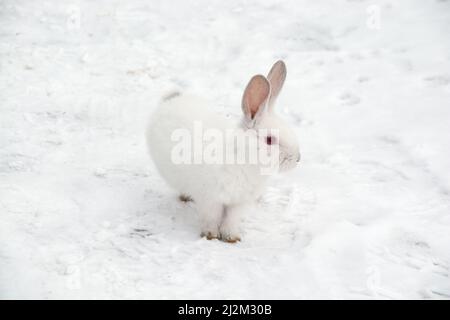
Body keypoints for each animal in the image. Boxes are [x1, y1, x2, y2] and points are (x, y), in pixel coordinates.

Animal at [148, 61, 300, 242]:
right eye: (269, 140)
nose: (297, 158)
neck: (242, 157)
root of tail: (172, 99)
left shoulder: (239, 203)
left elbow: (231, 220)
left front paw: (232, 238)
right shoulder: (211, 199)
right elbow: (212, 218)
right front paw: (211, 235)